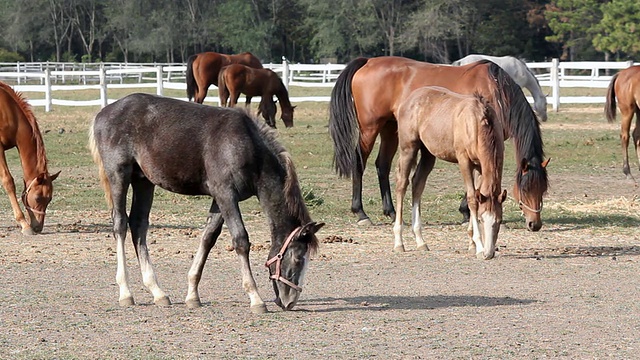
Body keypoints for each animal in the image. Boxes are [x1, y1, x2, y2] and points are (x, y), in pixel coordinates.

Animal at [87, 93, 322, 312]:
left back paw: (158, 292)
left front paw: (192, 295)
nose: (290, 301)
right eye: (298, 258)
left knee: (138, 225)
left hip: (143, 181)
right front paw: (255, 298)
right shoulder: (226, 194)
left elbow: (208, 238)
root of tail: (103, 113)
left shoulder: (219, 199)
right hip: (119, 175)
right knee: (120, 224)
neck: (246, 146)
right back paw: (125, 292)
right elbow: (241, 240)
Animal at [330, 56, 552, 231]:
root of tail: (368, 61)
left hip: (389, 128)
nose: (534, 224)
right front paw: (468, 212)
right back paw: (361, 213)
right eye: (525, 189)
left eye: (543, 189)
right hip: (370, 128)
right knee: (359, 163)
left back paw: (391, 212)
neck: (495, 92)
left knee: (382, 165)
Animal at [392, 88, 508, 260]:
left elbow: (475, 195)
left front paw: (472, 245)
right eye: (481, 219)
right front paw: (479, 248)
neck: (478, 122)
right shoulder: (464, 161)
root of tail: (409, 99)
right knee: (402, 184)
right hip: (408, 148)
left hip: (428, 154)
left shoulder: (480, 166)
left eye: (499, 221)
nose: (489, 253)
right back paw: (399, 243)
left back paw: (420, 241)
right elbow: (472, 198)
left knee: (417, 183)